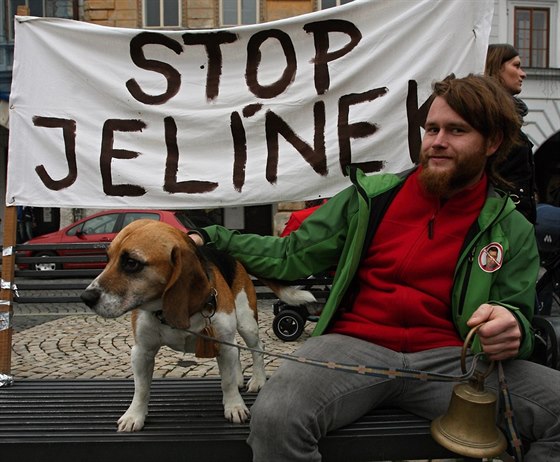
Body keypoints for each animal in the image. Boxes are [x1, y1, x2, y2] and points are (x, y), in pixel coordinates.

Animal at [81, 218, 316, 432]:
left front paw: (234, 406)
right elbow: (141, 389)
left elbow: (227, 381)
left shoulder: (224, 342)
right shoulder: (141, 351)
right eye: (107, 258)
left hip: (246, 323)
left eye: (131, 263)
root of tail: (233, 257)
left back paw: (257, 379)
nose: (86, 297)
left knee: (257, 348)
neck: (167, 309)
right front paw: (134, 416)